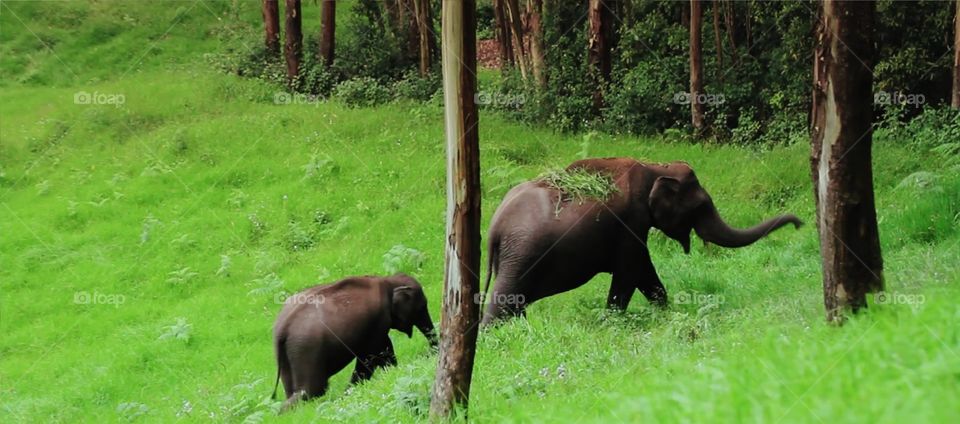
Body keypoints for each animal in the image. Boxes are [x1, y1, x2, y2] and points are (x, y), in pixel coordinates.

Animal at [271, 273, 437, 411]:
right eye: (422, 307)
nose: (427, 354)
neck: (387, 280)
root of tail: (283, 328)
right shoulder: (377, 321)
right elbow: (372, 356)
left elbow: (381, 351)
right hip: (307, 349)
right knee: (312, 390)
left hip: (289, 353)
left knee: (294, 390)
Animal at [480, 157, 803, 325]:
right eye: (701, 206)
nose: (800, 224)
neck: (656, 168)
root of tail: (494, 226)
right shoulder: (630, 222)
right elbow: (632, 270)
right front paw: (614, 322)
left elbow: (645, 274)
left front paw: (664, 312)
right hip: (522, 253)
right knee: (504, 301)